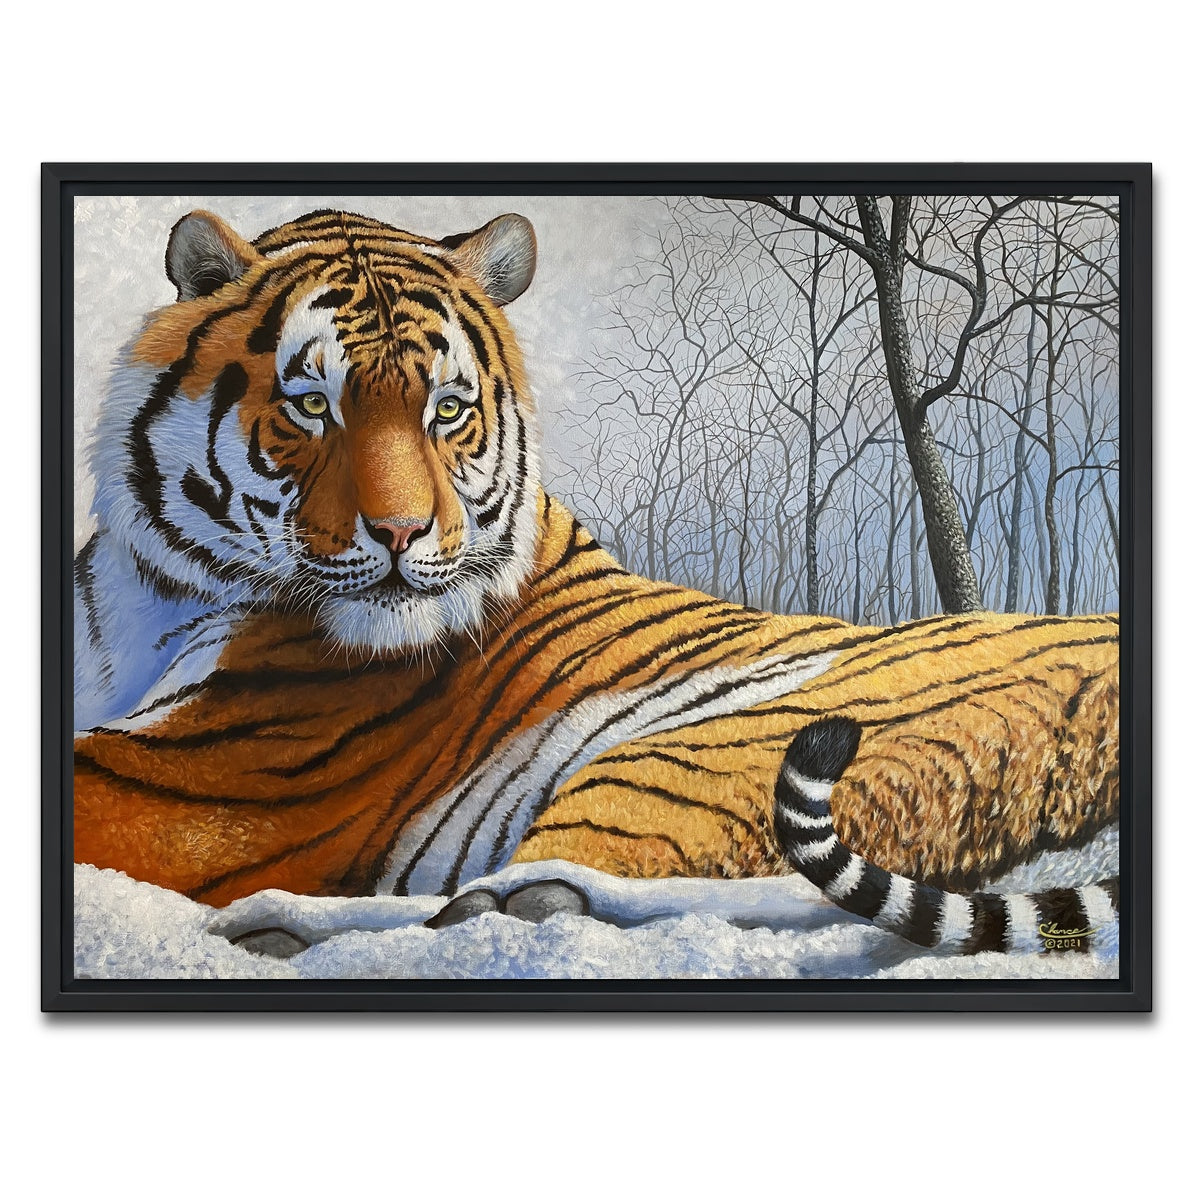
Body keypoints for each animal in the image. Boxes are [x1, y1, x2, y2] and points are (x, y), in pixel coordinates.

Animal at [72, 207, 1121, 961]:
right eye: (310, 404)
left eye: (446, 410)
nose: (403, 534)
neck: (148, 590)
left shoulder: (195, 779)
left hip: (712, 749)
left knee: (542, 898)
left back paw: (285, 920)